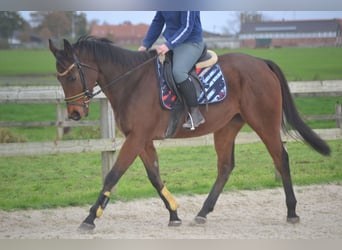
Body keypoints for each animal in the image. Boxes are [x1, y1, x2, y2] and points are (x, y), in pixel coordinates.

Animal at [46, 35, 330, 230]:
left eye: (71, 77)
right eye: (58, 78)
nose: (75, 114)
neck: (132, 81)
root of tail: (261, 62)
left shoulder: (136, 139)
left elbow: (112, 176)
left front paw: (91, 217)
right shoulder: (142, 140)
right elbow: (154, 176)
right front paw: (173, 213)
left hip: (264, 122)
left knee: (281, 158)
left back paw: (292, 212)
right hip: (227, 127)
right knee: (225, 166)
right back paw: (202, 213)